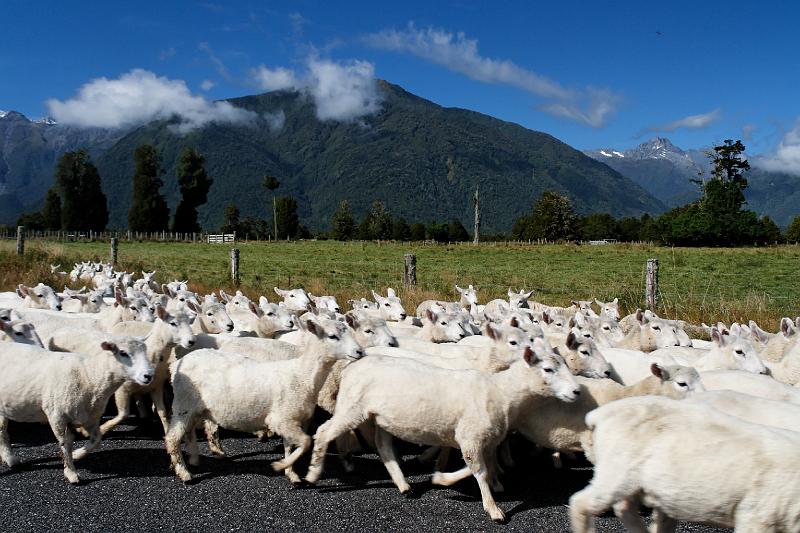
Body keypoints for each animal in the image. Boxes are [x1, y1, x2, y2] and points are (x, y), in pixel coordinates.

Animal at [0, 340, 153, 482]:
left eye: (145, 351)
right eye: (123, 352)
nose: (149, 375)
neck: (89, 376)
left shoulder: (90, 418)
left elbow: (96, 440)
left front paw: (77, 454)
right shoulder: (57, 416)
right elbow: (65, 445)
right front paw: (71, 473)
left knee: (2, 430)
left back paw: (9, 458)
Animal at [166, 314, 366, 484]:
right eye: (332, 336)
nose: (359, 352)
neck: (302, 376)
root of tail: (178, 364)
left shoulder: (292, 420)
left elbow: (291, 446)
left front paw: (291, 474)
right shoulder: (280, 419)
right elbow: (306, 442)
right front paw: (281, 466)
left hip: (196, 408)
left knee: (189, 431)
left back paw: (194, 458)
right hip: (183, 404)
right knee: (172, 438)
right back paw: (184, 472)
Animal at [304, 336, 576, 520]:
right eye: (548, 369)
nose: (576, 392)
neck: (501, 391)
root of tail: (352, 366)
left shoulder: (485, 439)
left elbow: (483, 467)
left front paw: (489, 483)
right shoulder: (470, 438)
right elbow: (479, 471)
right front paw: (492, 508)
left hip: (380, 416)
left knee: (384, 448)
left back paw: (404, 485)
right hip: (352, 407)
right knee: (323, 432)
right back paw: (312, 475)